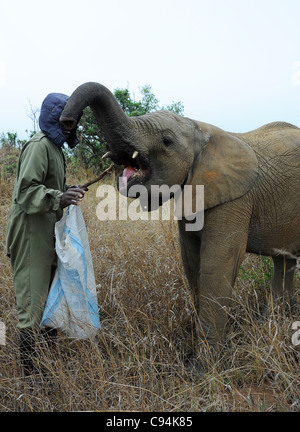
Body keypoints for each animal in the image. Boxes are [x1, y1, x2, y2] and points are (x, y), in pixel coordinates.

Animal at [60, 82, 300, 360]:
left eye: (166, 141)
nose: (67, 122)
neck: (202, 131)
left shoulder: (236, 200)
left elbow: (217, 265)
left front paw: (205, 366)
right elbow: (191, 263)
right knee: (284, 260)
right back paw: (280, 318)